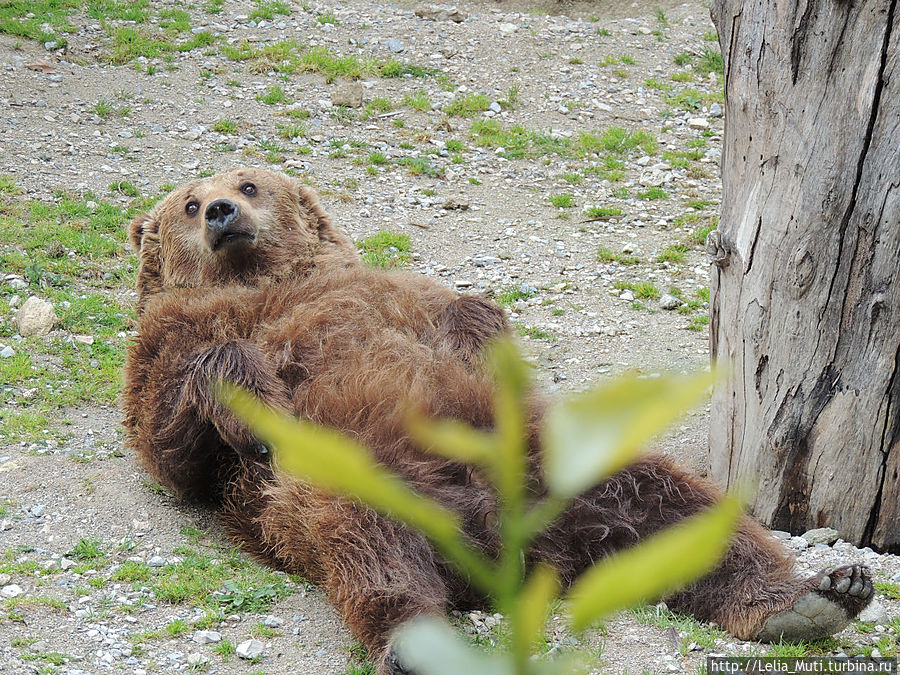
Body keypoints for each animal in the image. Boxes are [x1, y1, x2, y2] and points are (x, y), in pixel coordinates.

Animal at [121, 169, 872, 675]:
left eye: (248, 183)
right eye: (188, 203)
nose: (221, 211)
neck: (261, 280)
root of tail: (514, 546)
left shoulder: (392, 293)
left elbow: (468, 315)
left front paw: (478, 333)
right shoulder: (172, 345)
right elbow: (173, 434)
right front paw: (250, 398)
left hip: (565, 464)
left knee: (680, 506)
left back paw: (814, 595)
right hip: (348, 480)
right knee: (375, 550)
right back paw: (416, 644)